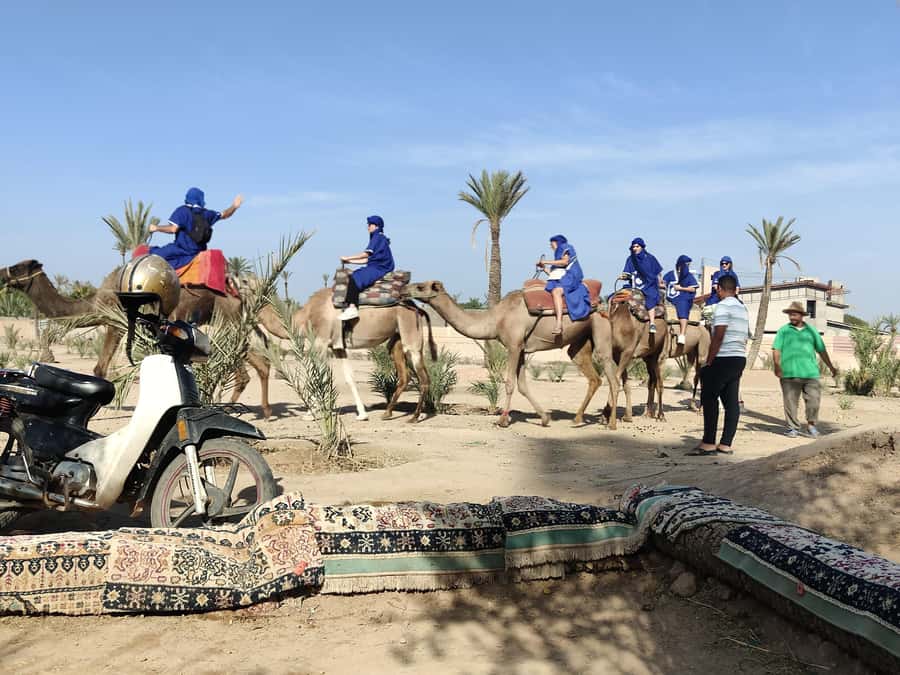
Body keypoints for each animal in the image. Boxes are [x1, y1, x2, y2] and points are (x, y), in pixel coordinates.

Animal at [0, 259, 275, 418]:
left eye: (17, 267)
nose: (2, 273)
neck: (94, 302)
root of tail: (238, 289)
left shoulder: (115, 322)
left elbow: (100, 368)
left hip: (225, 317)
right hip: (230, 320)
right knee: (254, 359)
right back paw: (261, 410)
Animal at [250, 288, 436, 423]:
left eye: (245, 282)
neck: (305, 315)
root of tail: (417, 307)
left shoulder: (321, 342)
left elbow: (318, 376)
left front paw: (310, 414)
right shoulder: (338, 347)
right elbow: (349, 377)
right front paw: (362, 414)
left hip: (410, 333)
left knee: (424, 378)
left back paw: (414, 417)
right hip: (396, 339)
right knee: (405, 375)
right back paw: (387, 413)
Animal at [403, 280, 618, 428]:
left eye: (420, 286)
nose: (404, 289)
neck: (496, 319)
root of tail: (603, 302)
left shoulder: (513, 345)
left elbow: (509, 383)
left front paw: (503, 419)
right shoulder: (522, 348)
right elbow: (522, 385)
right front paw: (545, 418)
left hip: (600, 328)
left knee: (612, 377)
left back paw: (611, 423)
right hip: (581, 340)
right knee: (594, 377)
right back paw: (578, 419)